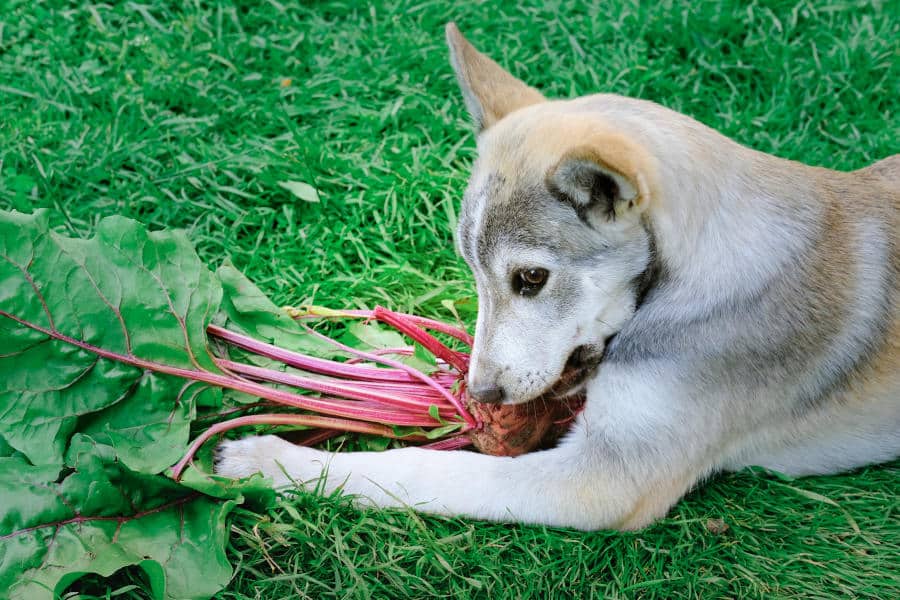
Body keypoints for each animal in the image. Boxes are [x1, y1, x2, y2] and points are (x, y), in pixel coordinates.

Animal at [218, 23, 900, 528]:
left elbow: (423, 469)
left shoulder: (602, 480)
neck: (695, 273)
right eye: (471, 271)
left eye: (530, 279)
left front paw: (271, 462)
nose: (480, 395)